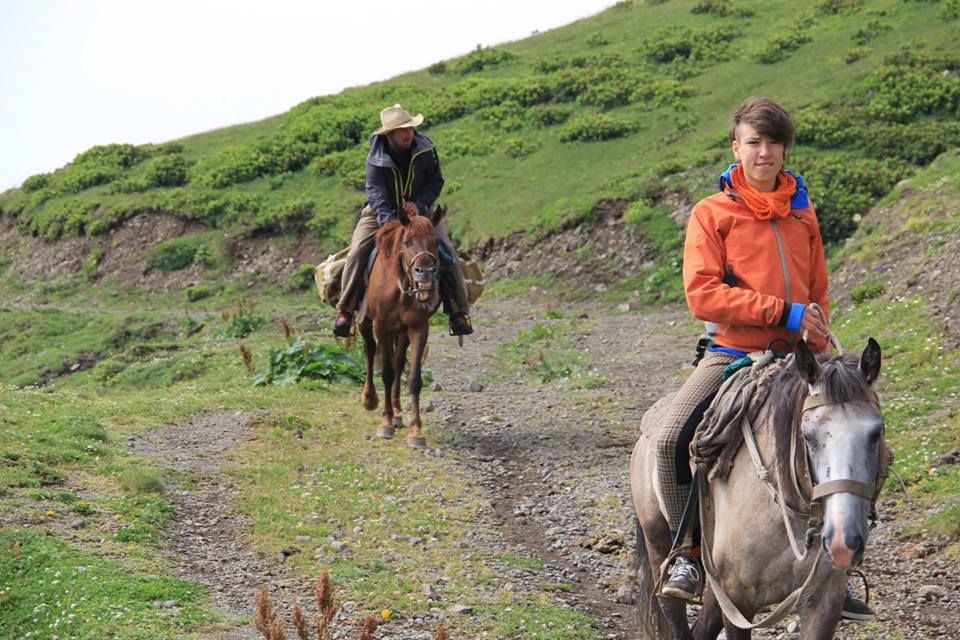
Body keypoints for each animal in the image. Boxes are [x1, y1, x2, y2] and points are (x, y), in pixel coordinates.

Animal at [359, 206, 443, 448]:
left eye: (436, 241)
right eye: (407, 241)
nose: (425, 272)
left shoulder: (418, 327)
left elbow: (413, 378)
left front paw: (416, 431)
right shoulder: (381, 326)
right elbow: (386, 372)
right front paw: (385, 422)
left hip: (402, 332)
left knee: (398, 362)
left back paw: (397, 412)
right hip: (366, 323)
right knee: (369, 350)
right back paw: (370, 398)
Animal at [629, 338, 888, 640]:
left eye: (876, 432)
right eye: (807, 435)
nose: (842, 543)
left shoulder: (823, 601)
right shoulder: (738, 601)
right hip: (658, 541)